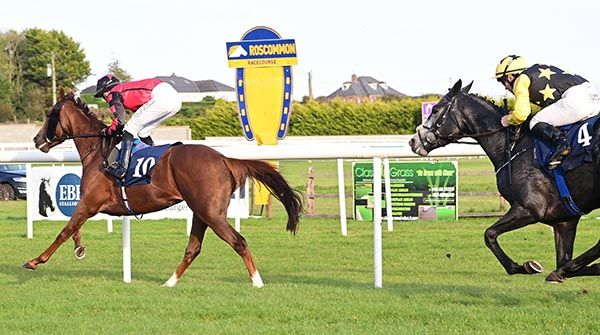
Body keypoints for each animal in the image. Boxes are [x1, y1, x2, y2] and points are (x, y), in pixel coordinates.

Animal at [25, 90, 302, 288]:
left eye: (50, 114)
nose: (36, 139)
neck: (98, 152)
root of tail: (224, 159)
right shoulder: (89, 204)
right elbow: (74, 229)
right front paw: (79, 248)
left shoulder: (90, 202)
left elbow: (65, 230)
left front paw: (35, 261)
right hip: (201, 211)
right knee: (193, 248)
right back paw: (169, 283)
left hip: (211, 213)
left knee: (239, 241)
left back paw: (257, 282)